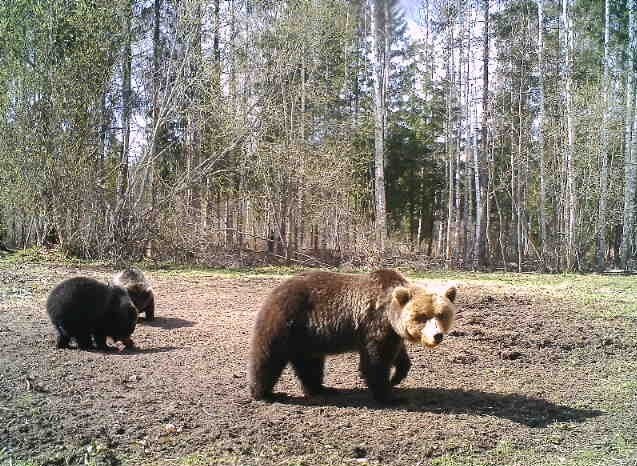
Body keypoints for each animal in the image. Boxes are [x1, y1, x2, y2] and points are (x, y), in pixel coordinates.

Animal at [245, 270, 458, 404]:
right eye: (422, 316)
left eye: (441, 314)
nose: (437, 335)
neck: (389, 314)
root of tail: (275, 291)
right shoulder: (374, 325)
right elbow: (375, 362)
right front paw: (390, 396)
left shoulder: (392, 332)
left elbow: (398, 354)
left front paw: (397, 376)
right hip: (286, 322)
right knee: (268, 358)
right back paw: (265, 393)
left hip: (308, 337)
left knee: (310, 364)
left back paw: (322, 389)